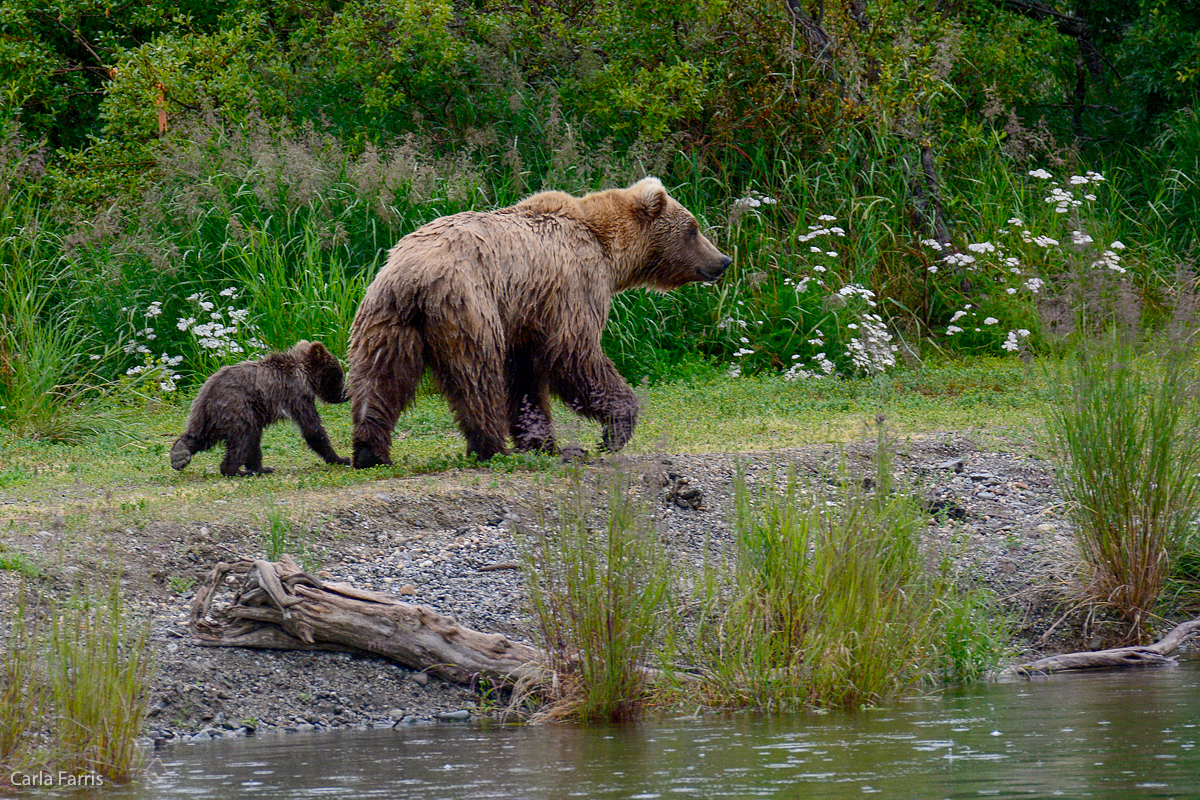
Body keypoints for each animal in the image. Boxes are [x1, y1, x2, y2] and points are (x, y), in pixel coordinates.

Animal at [348, 175, 729, 462]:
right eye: (693, 228)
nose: (722, 260)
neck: (609, 249)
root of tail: (414, 278)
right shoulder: (573, 288)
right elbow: (575, 356)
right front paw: (613, 430)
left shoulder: (527, 314)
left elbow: (526, 376)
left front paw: (541, 441)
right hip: (469, 307)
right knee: (478, 378)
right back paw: (490, 446)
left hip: (386, 319)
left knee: (379, 378)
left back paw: (370, 450)